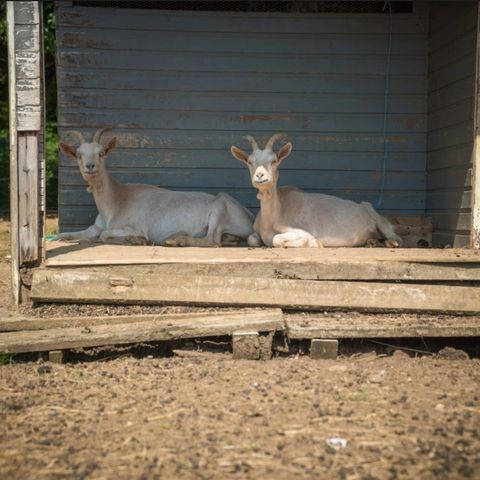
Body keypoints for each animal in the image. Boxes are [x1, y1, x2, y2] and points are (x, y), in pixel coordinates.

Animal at [58, 128, 255, 246]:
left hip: (219, 209)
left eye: (102, 153)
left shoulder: (136, 226)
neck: (115, 201)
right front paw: (63, 238)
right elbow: (76, 234)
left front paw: (136, 241)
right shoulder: (95, 227)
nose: (90, 166)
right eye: (78, 155)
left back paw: (177, 240)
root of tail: (250, 217)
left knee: (211, 241)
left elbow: (105, 236)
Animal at [230, 134, 402, 248]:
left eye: (274, 161)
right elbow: (252, 239)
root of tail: (364, 206)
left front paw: (313, 242)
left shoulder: (301, 230)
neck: (273, 216)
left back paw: (392, 242)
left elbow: (277, 240)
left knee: (392, 233)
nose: (260, 176)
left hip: (378, 217)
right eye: (250, 162)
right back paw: (371, 242)